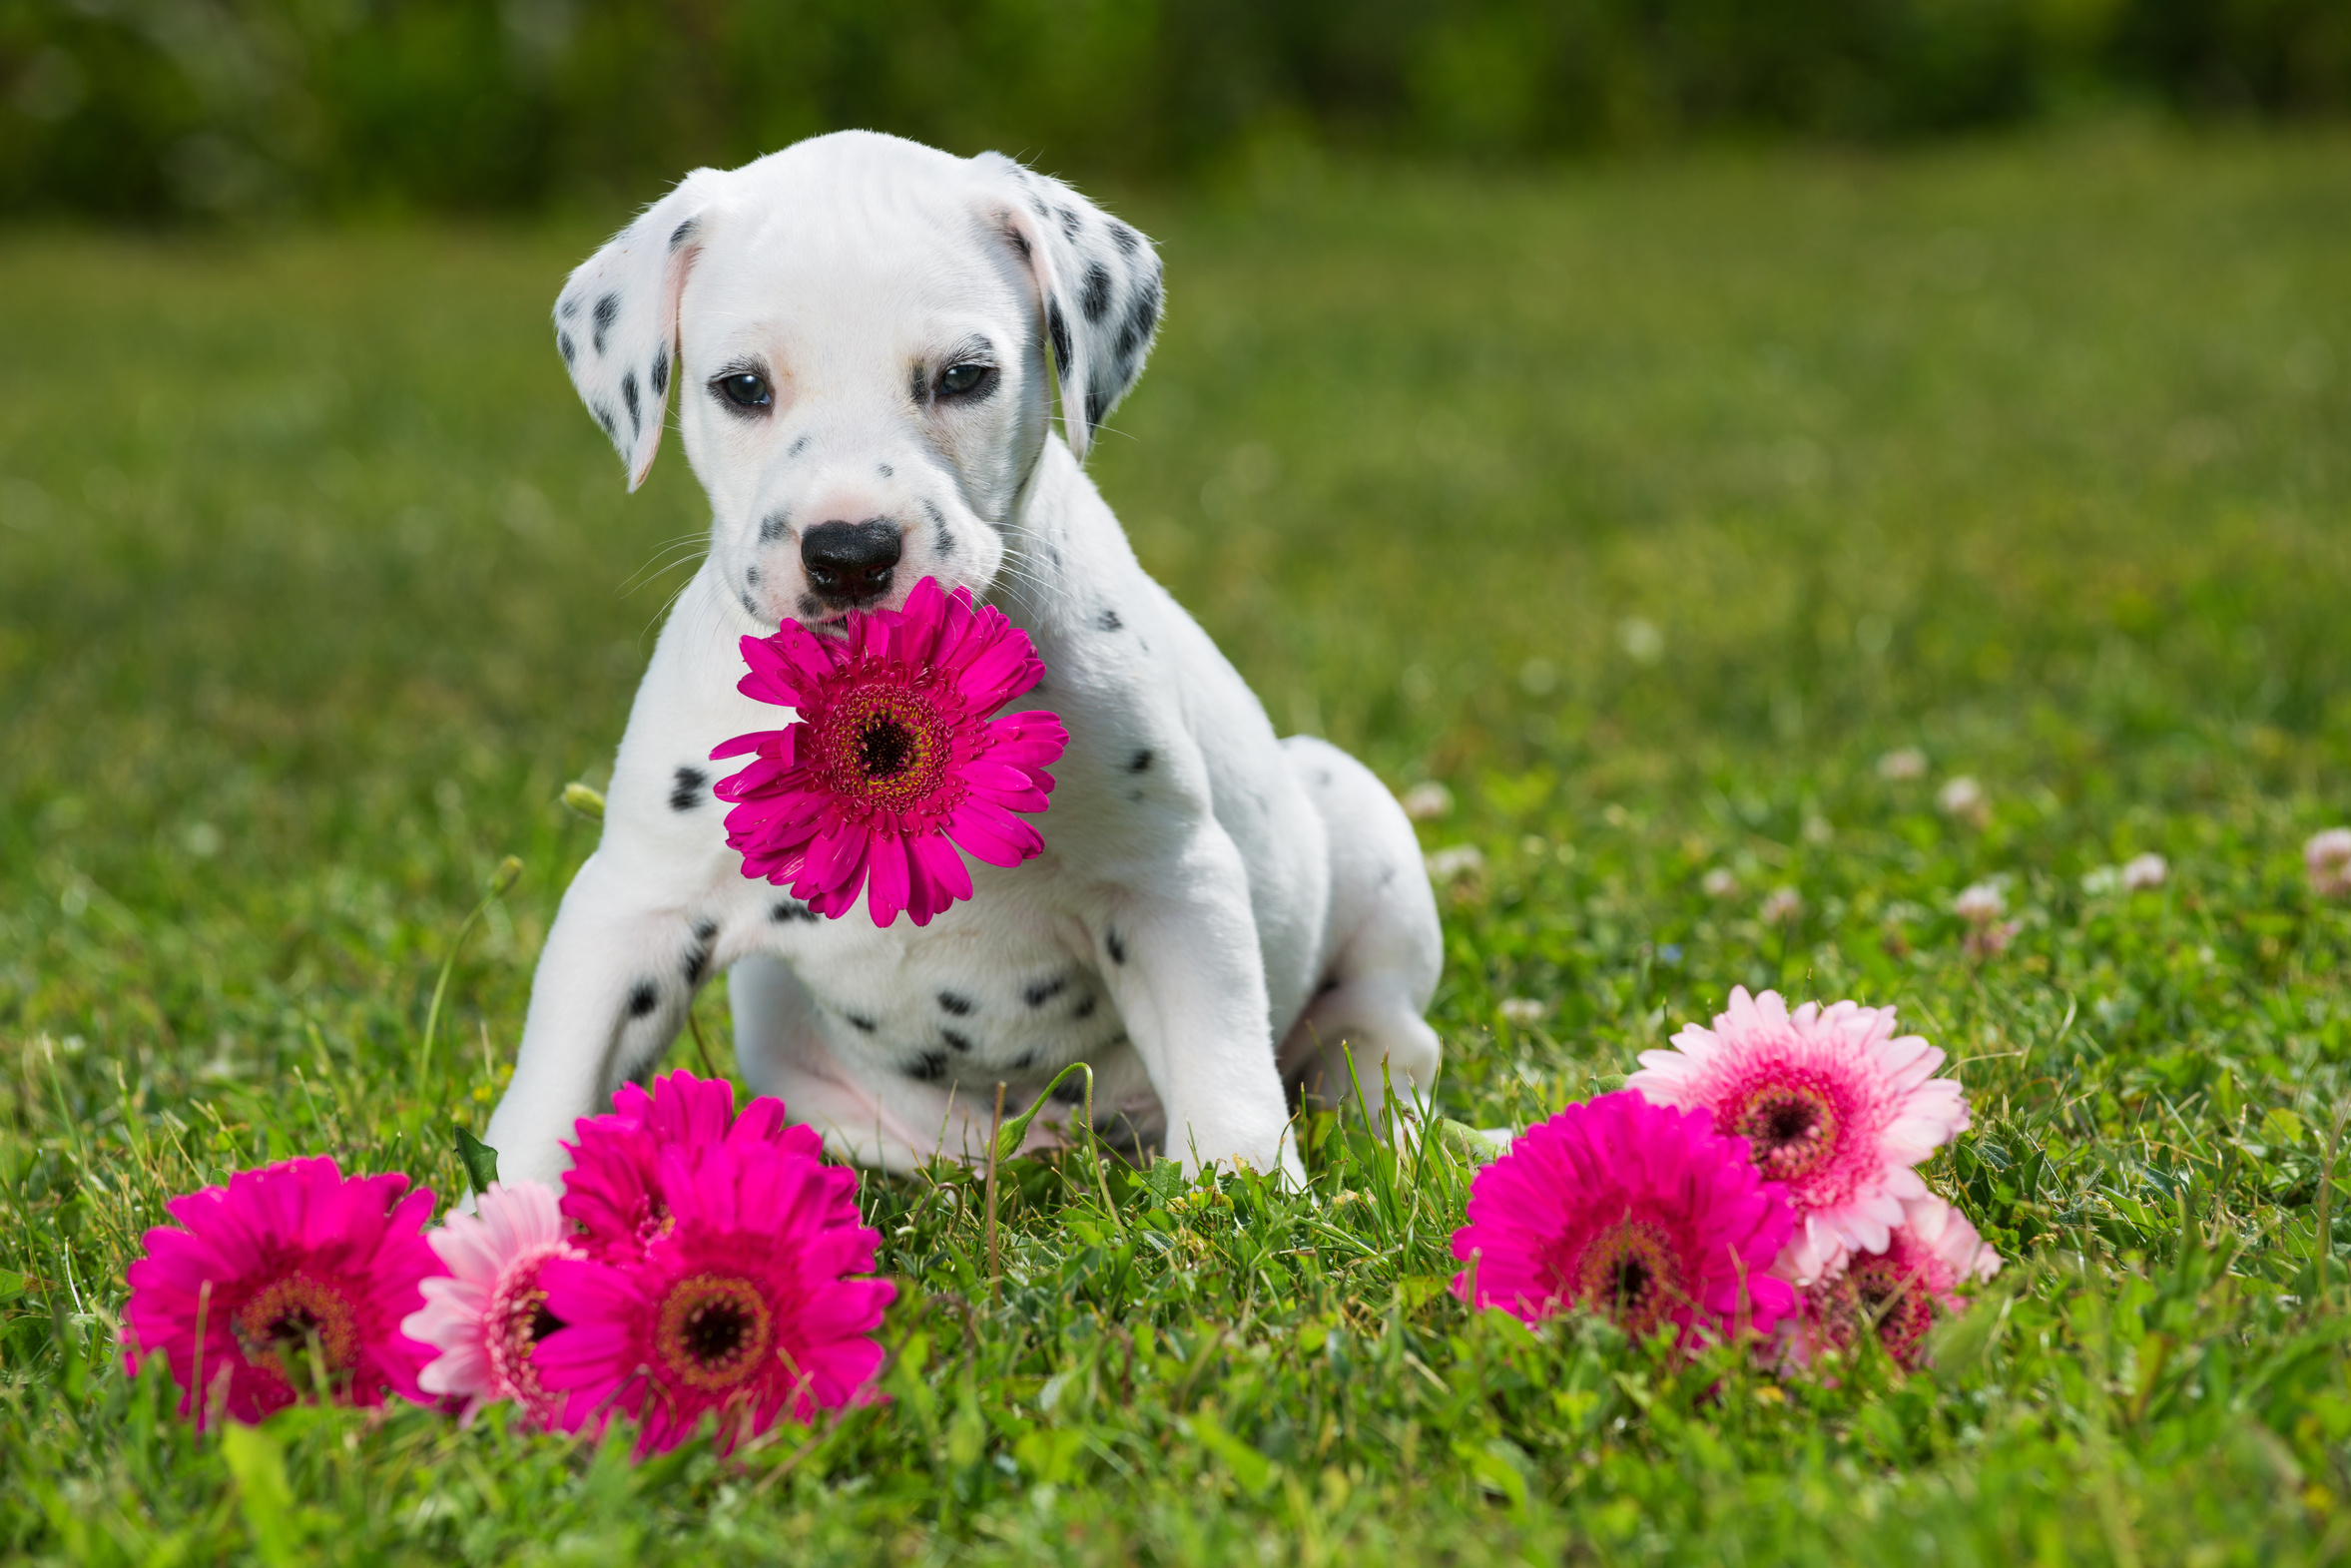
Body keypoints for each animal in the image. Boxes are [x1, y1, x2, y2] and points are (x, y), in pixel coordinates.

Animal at [484, 131, 1439, 1189]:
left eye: (963, 376)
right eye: (742, 387)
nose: (849, 552)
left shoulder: (1168, 886)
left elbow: (1220, 1066)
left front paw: (1243, 1194)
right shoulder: (635, 907)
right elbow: (559, 1083)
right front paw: (504, 1220)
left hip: (1356, 821)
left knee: (1380, 1035)